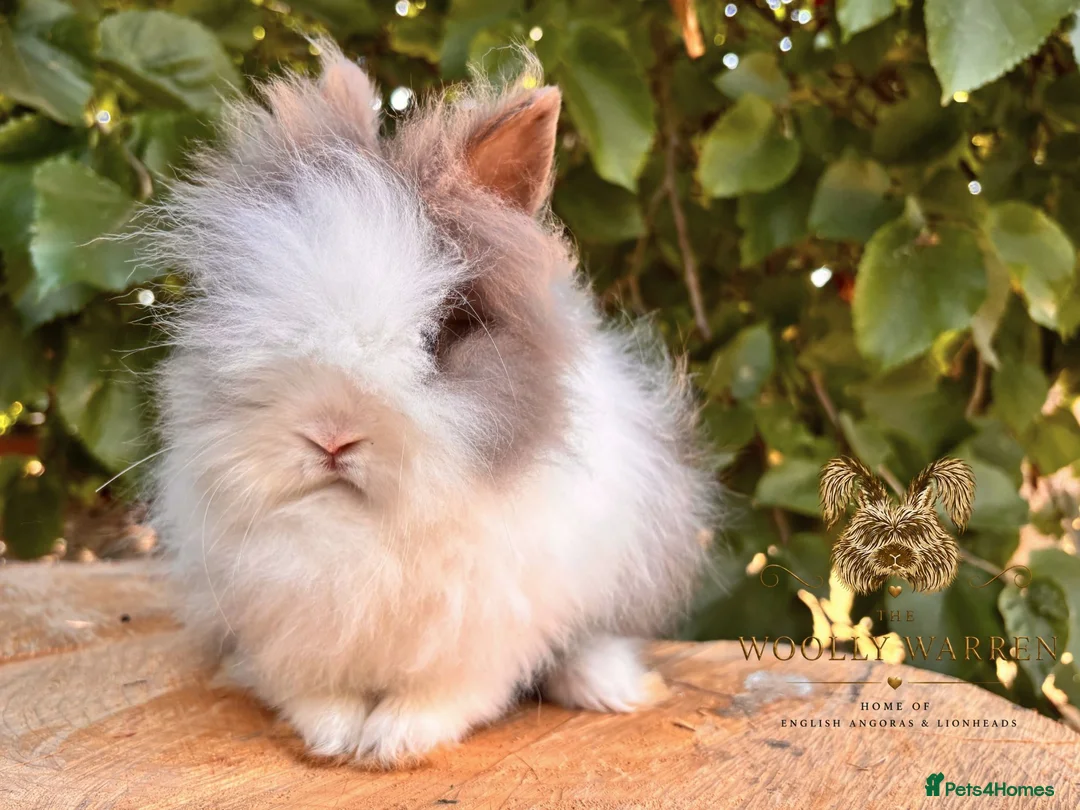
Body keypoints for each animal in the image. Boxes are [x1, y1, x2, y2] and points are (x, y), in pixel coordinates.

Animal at [146, 42, 719, 767]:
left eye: (446, 328)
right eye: (247, 304)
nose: (331, 435)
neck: (359, 534)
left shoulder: (490, 624)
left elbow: (451, 689)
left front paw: (395, 739)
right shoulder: (277, 623)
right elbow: (309, 686)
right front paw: (333, 733)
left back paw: (609, 688)